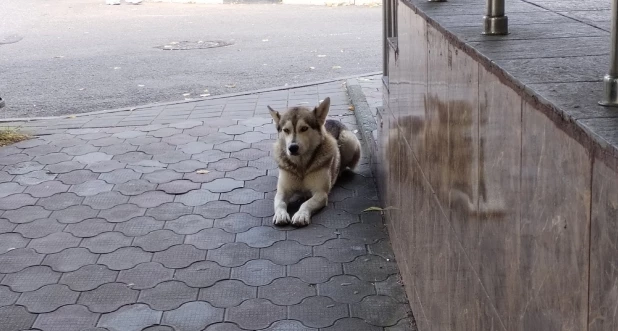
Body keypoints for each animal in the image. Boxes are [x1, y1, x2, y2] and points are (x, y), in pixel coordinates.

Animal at [266, 97, 360, 227]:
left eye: (304, 128)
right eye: (286, 130)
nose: (292, 148)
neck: (301, 166)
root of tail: (333, 120)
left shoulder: (321, 193)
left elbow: (306, 203)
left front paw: (301, 215)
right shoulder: (282, 191)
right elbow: (280, 202)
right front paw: (280, 214)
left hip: (348, 140)